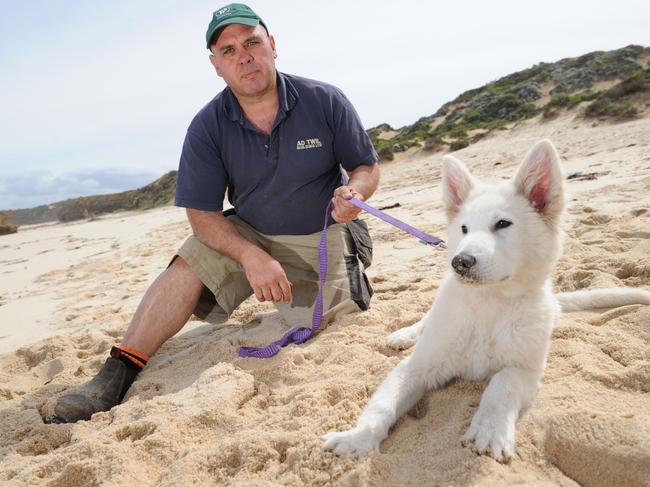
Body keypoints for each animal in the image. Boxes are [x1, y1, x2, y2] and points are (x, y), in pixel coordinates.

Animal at [324, 140, 648, 462]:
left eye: (503, 224)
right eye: (464, 228)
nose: (460, 262)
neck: (489, 304)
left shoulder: (526, 371)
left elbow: (501, 386)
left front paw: (490, 431)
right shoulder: (416, 367)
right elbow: (384, 403)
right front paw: (357, 437)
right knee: (425, 320)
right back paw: (405, 334)